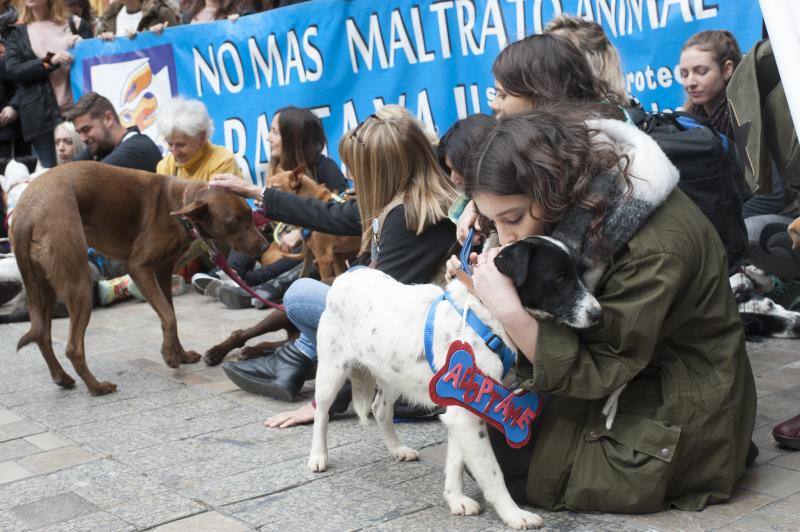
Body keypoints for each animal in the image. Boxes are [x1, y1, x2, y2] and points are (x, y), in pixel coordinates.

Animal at [10, 162, 266, 394]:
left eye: (251, 215)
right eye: (235, 222)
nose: (264, 246)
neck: (180, 203)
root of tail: (25, 213)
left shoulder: (163, 273)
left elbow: (170, 313)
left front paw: (180, 354)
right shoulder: (139, 267)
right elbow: (169, 315)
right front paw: (170, 356)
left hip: (44, 286)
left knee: (42, 335)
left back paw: (62, 378)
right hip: (78, 282)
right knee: (72, 347)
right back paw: (97, 387)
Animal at [310, 237, 604, 528]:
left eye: (582, 274)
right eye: (558, 278)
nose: (599, 315)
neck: (487, 317)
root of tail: (348, 275)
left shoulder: (463, 409)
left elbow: (456, 461)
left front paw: (455, 499)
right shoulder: (465, 415)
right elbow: (492, 473)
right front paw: (513, 514)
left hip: (393, 373)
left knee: (380, 408)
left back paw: (397, 449)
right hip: (331, 371)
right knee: (321, 412)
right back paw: (318, 457)